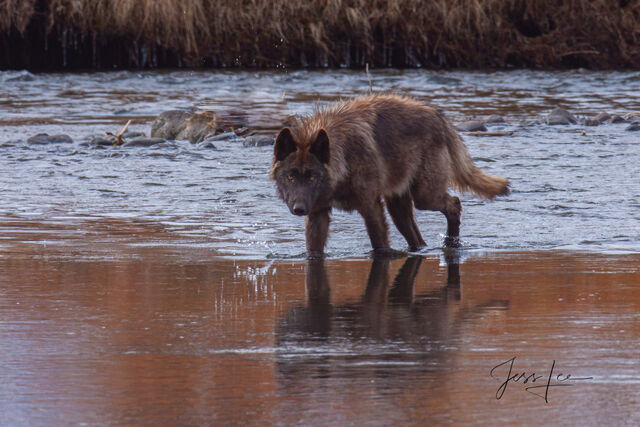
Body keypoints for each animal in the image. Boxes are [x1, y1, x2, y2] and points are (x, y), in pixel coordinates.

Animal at [268, 94, 508, 258]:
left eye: (312, 178)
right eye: (290, 177)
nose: (299, 209)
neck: (344, 160)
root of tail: (438, 115)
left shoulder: (371, 207)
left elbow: (380, 245)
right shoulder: (318, 214)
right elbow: (314, 251)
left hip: (424, 198)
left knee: (455, 203)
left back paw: (452, 245)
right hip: (398, 209)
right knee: (418, 239)